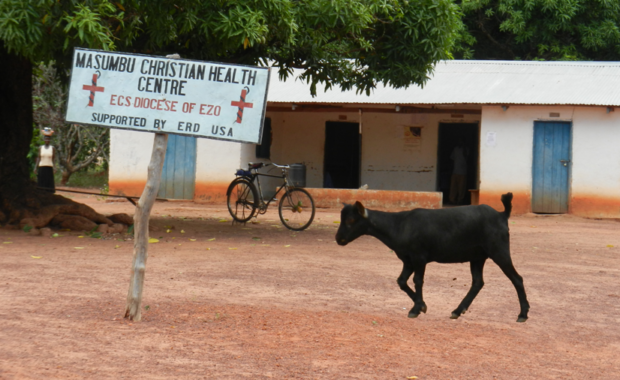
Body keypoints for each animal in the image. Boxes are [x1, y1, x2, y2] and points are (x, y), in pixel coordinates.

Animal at [336, 194, 532, 322]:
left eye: (351, 220)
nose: (338, 239)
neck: (398, 225)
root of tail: (502, 214)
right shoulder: (408, 260)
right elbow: (401, 281)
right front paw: (422, 305)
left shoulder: (419, 257)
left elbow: (417, 281)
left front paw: (416, 309)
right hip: (477, 256)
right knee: (478, 282)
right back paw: (457, 311)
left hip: (499, 249)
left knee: (517, 278)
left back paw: (523, 314)